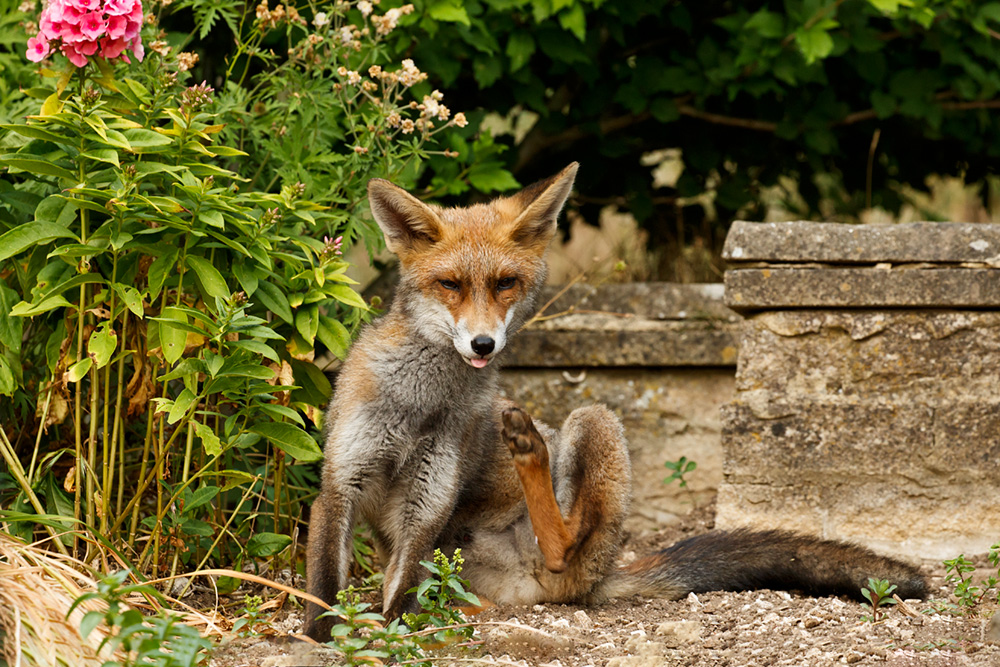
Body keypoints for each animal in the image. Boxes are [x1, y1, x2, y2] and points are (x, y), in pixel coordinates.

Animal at [303, 162, 927, 640]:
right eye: (450, 285)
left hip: (594, 424)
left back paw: (531, 451)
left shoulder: (429, 500)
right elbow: (325, 585)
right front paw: (321, 638)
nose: (483, 344)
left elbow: (401, 591)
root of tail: (603, 574)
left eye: (505, 283)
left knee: (563, 545)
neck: (416, 406)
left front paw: (386, 635)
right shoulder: (341, 480)